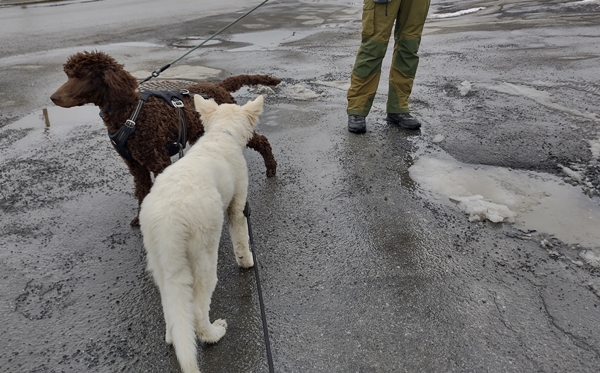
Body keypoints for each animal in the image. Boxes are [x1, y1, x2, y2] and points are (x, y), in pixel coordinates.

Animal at [49, 50, 278, 225]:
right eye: (68, 75)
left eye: (82, 75)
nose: (52, 98)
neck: (129, 112)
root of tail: (218, 86)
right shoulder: (135, 165)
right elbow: (142, 190)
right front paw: (140, 219)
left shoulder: (158, 159)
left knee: (262, 141)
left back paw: (271, 168)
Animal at [141, 93, 264, 372]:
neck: (222, 134)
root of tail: (170, 220)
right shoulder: (237, 206)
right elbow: (241, 240)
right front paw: (248, 262)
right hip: (204, 251)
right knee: (197, 310)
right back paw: (213, 333)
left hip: (158, 260)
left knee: (172, 307)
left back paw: (173, 336)